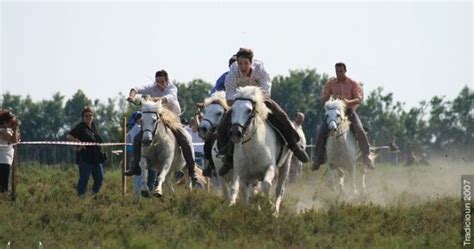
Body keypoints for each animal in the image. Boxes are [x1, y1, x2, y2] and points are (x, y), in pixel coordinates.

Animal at [227, 86, 290, 215]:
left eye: (248, 110)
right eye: (232, 111)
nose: (235, 132)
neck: (252, 149)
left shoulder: (270, 168)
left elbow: (266, 185)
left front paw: (268, 205)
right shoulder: (244, 177)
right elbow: (246, 195)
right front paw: (251, 210)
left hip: (285, 165)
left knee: (279, 190)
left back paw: (275, 212)